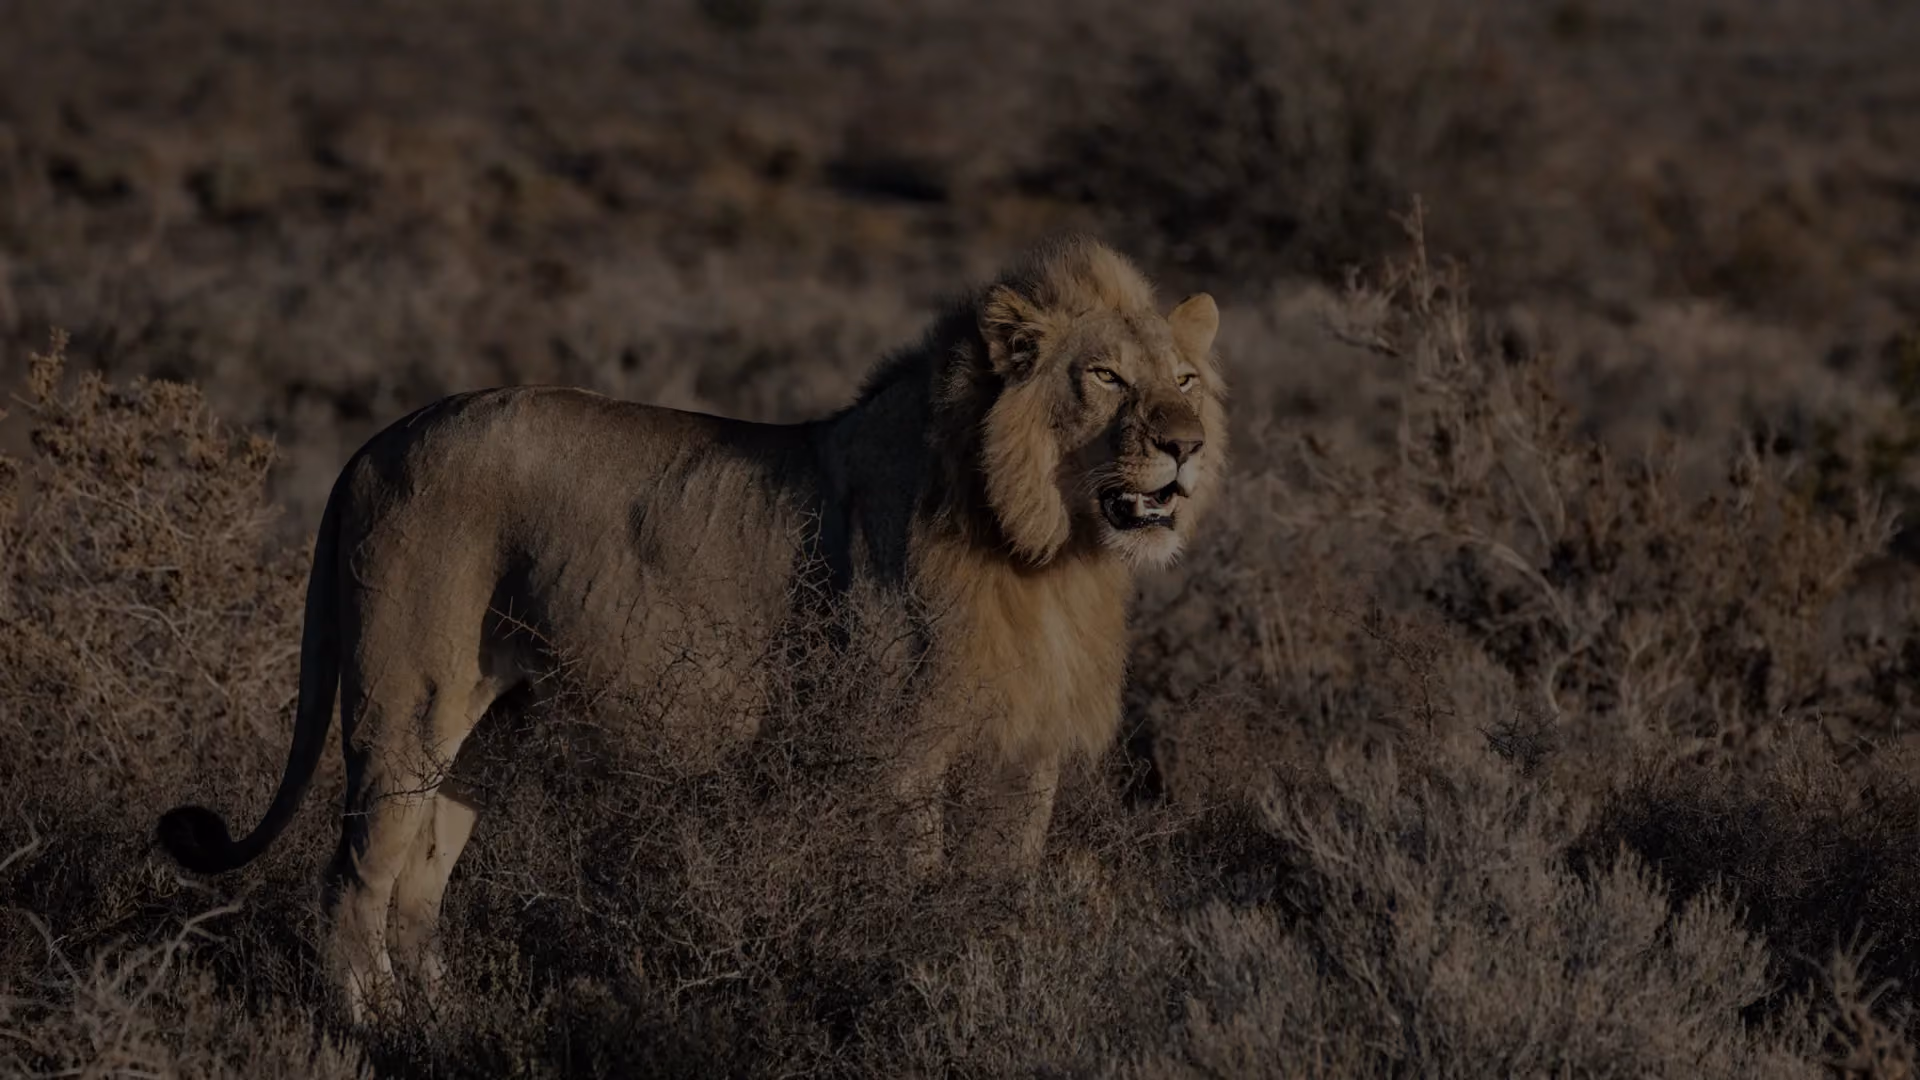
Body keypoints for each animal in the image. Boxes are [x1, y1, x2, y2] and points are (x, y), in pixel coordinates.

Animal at [156, 235, 1227, 1020]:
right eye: (1106, 378)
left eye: (1184, 379)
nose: (1185, 446)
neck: (1049, 553)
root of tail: (373, 445)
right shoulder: (900, 753)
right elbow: (916, 891)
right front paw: (915, 984)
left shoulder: (1024, 756)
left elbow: (1001, 891)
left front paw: (995, 980)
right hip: (404, 705)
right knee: (352, 879)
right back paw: (369, 1029)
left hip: (491, 729)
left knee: (421, 881)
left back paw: (442, 1022)